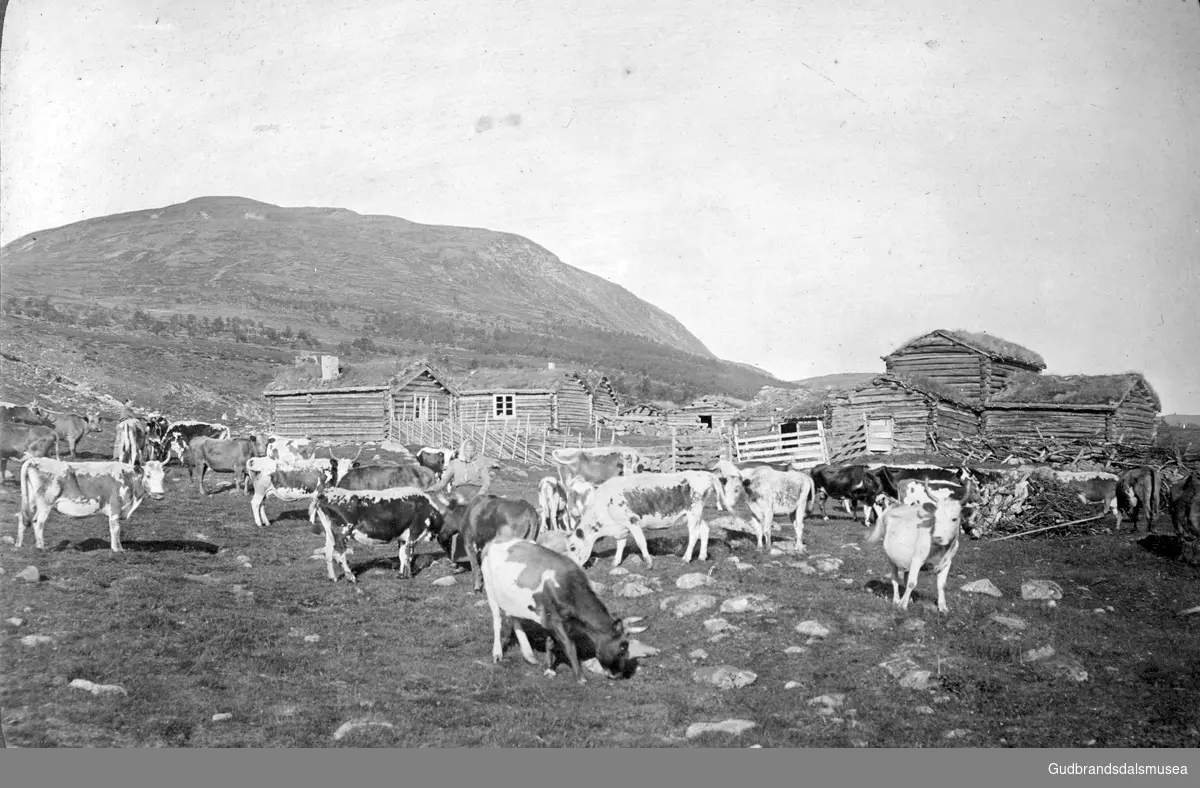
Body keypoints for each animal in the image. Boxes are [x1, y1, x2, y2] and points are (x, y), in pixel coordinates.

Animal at [17, 455, 168, 554]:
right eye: (148, 475)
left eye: (163, 476)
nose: (159, 494)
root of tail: (35, 460)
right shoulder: (115, 506)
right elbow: (115, 528)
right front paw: (117, 549)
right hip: (45, 503)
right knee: (38, 522)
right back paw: (41, 547)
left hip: (31, 501)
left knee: (23, 519)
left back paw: (19, 545)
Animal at [314, 482, 446, 580]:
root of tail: (326, 494)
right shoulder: (413, 535)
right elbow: (408, 555)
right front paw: (409, 576)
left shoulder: (402, 538)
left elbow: (402, 555)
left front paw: (401, 575)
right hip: (342, 531)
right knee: (340, 552)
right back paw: (351, 577)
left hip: (330, 534)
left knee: (328, 553)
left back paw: (333, 578)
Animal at [480, 534, 648, 681]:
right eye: (623, 646)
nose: (619, 675)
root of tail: (495, 540)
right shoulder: (554, 620)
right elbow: (569, 646)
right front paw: (580, 678)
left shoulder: (551, 619)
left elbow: (550, 643)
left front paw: (549, 668)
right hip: (490, 590)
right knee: (497, 621)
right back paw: (497, 653)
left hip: (510, 597)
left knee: (514, 617)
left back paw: (529, 655)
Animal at [566, 470, 724, 568]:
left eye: (572, 547)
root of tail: (703, 473)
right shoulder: (621, 527)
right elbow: (620, 544)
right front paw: (616, 562)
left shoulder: (632, 521)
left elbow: (641, 542)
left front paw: (648, 562)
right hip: (695, 515)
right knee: (705, 530)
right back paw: (702, 556)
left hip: (694, 512)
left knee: (694, 534)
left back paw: (686, 558)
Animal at [864, 484, 964, 614]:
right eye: (935, 518)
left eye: (954, 519)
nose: (938, 537)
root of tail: (895, 506)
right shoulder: (917, 559)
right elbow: (912, 583)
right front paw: (902, 605)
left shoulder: (947, 562)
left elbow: (941, 585)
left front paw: (943, 607)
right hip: (891, 558)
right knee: (895, 579)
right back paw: (896, 600)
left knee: (905, 577)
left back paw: (909, 599)